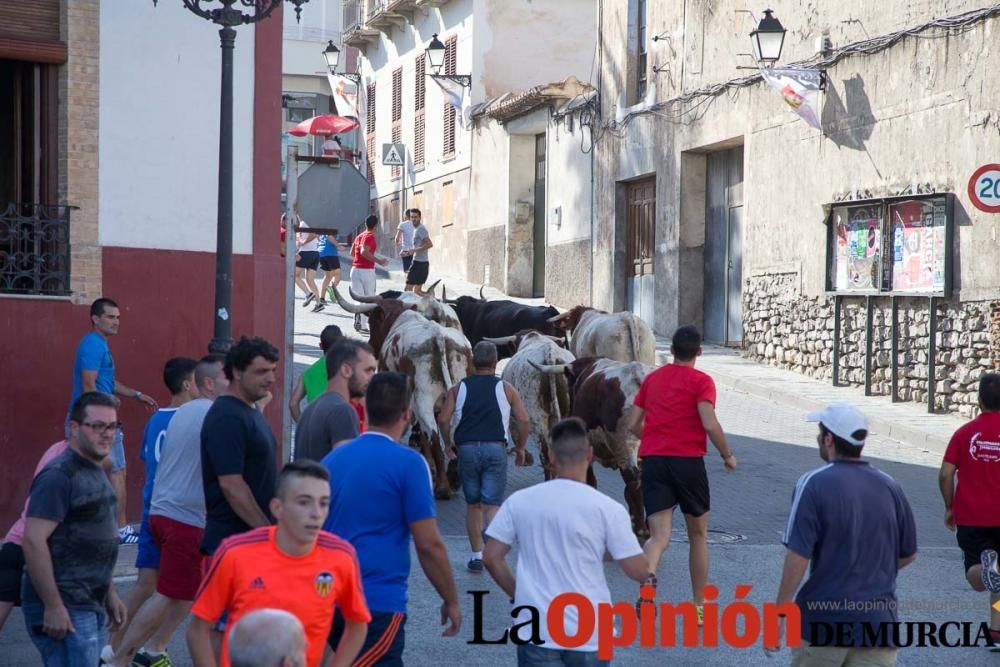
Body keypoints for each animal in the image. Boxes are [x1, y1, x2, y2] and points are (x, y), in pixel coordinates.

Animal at [328, 284, 468, 498]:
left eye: (373, 319)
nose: (372, 346)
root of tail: (438, 336)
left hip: (423, 399)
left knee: (433, 436)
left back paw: (442, 486)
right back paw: (453, 477)